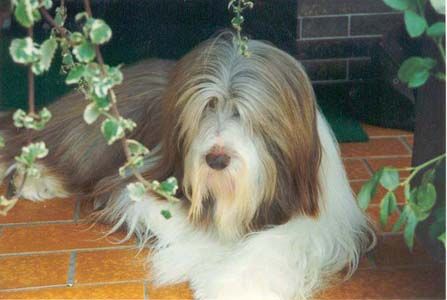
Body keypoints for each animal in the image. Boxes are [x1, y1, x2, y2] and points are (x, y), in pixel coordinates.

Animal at [0, 33, 374, 300]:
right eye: (207, 107)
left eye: (243, 113)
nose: (216, 159)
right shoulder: (145, 179)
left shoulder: (322, 217)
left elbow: (279, 242)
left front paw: (233, 285)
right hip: (89, 138)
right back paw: (31, 180)